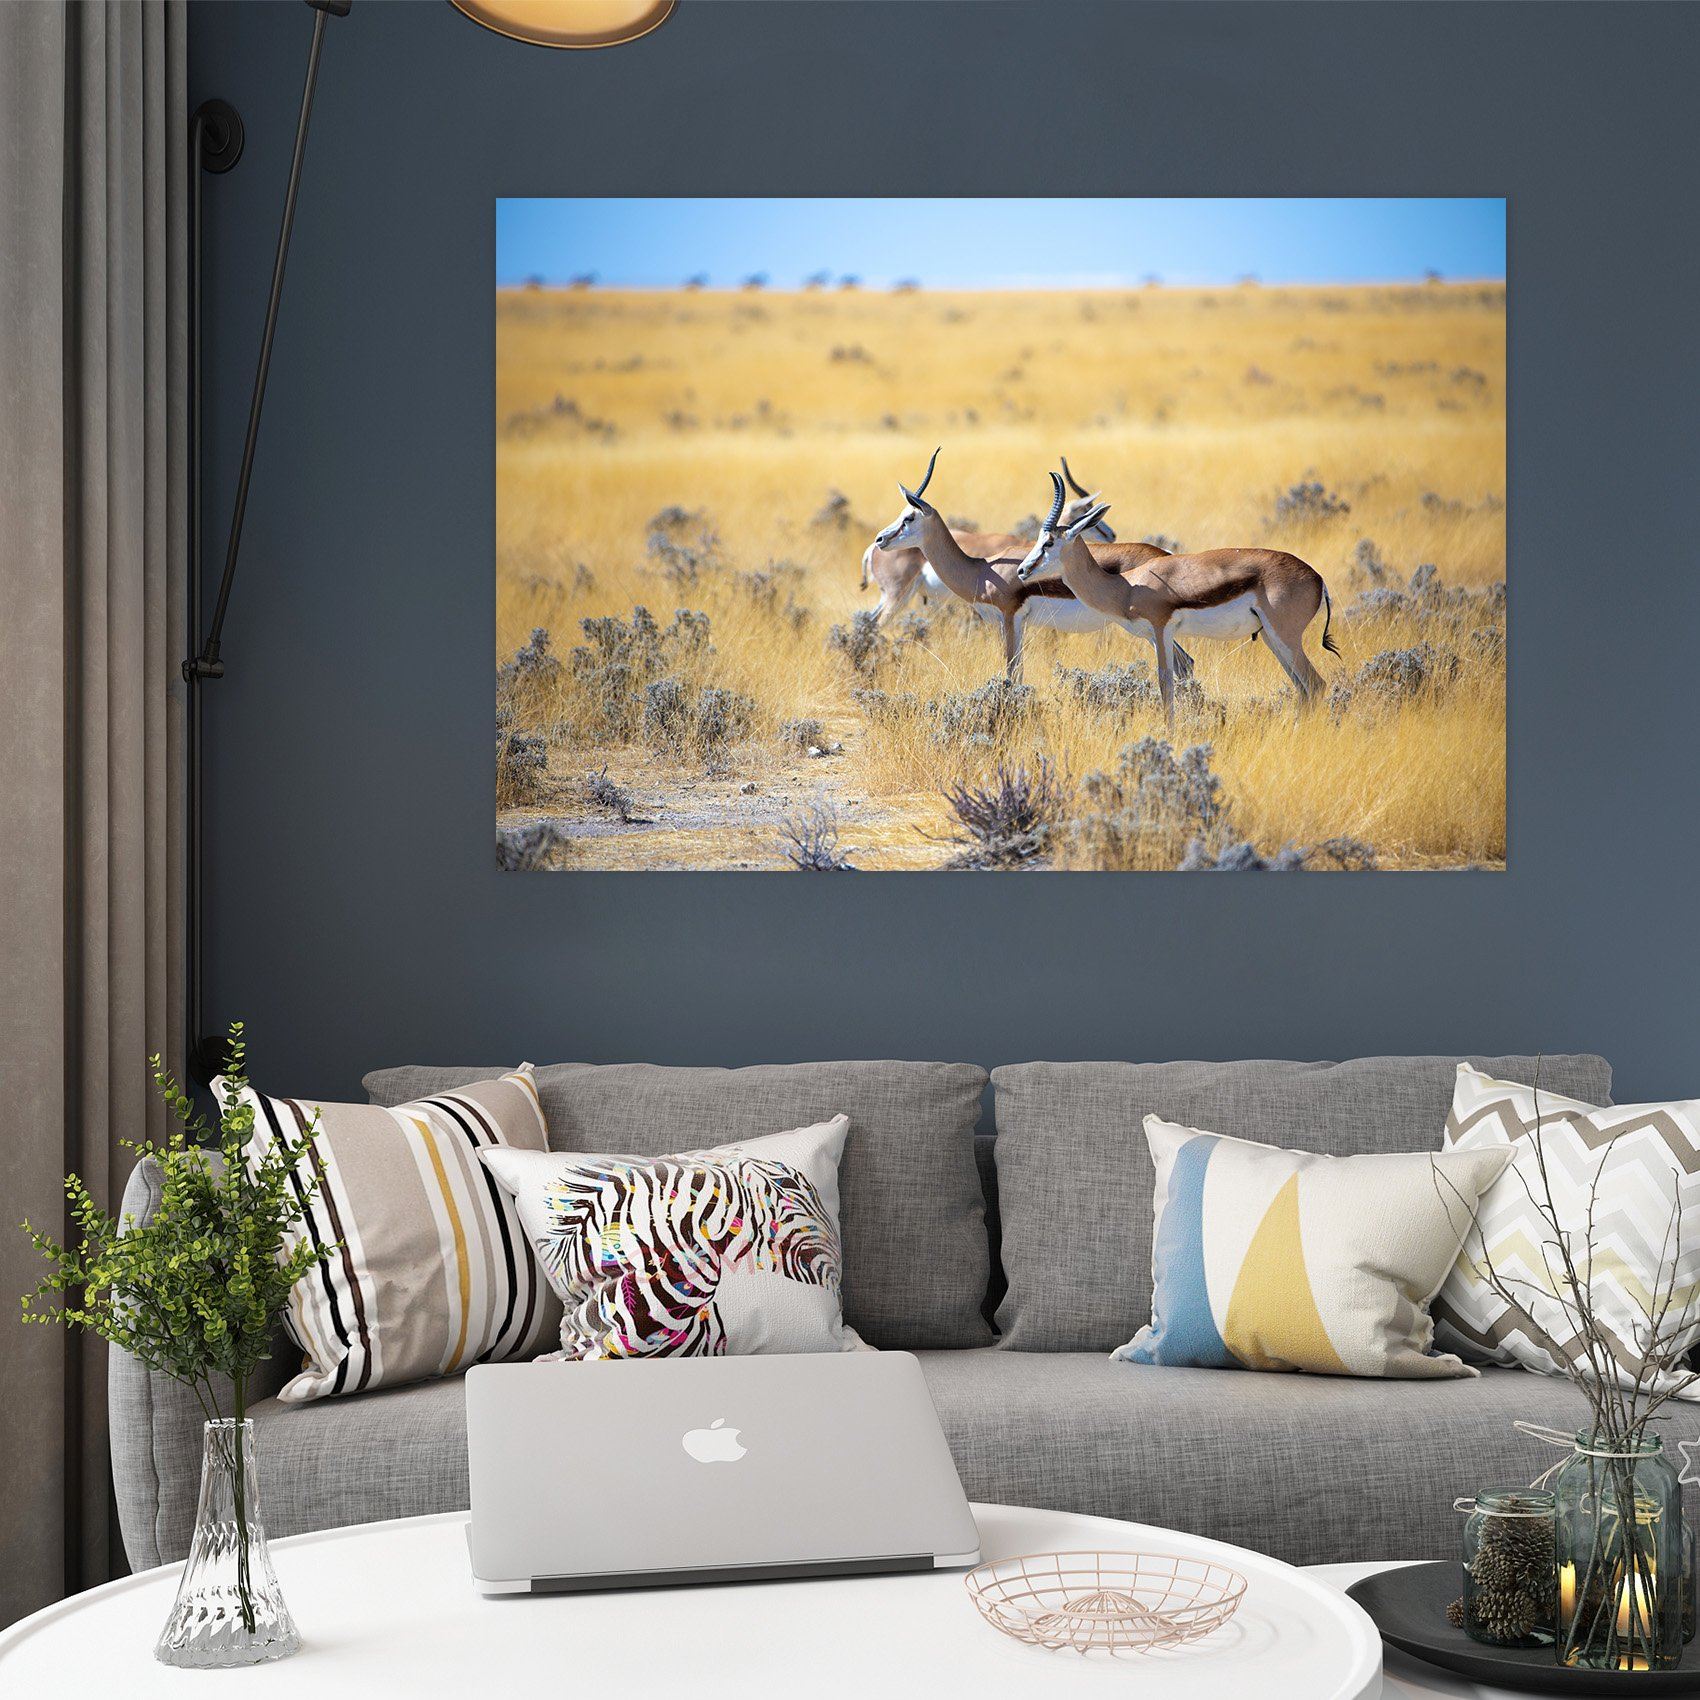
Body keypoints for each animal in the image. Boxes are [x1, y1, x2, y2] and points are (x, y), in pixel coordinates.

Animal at [866, 451, 1194, 682]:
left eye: (909, 517)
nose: (880, 538)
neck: (983, 571)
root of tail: (1166, 554)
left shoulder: (1010, 617)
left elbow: (1012, 671)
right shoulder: (1013, 623)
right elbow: (1018, 671)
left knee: (1184, 664)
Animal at [1015, 472, 1339, 721]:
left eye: (1048, 542)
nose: (1021, 570)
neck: (1127, 586)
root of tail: (1318, 578)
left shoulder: (1161, 630)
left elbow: (1165, 683)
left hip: (1285, 637)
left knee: (1315, 684)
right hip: (1272, 638)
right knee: (1303, 688)